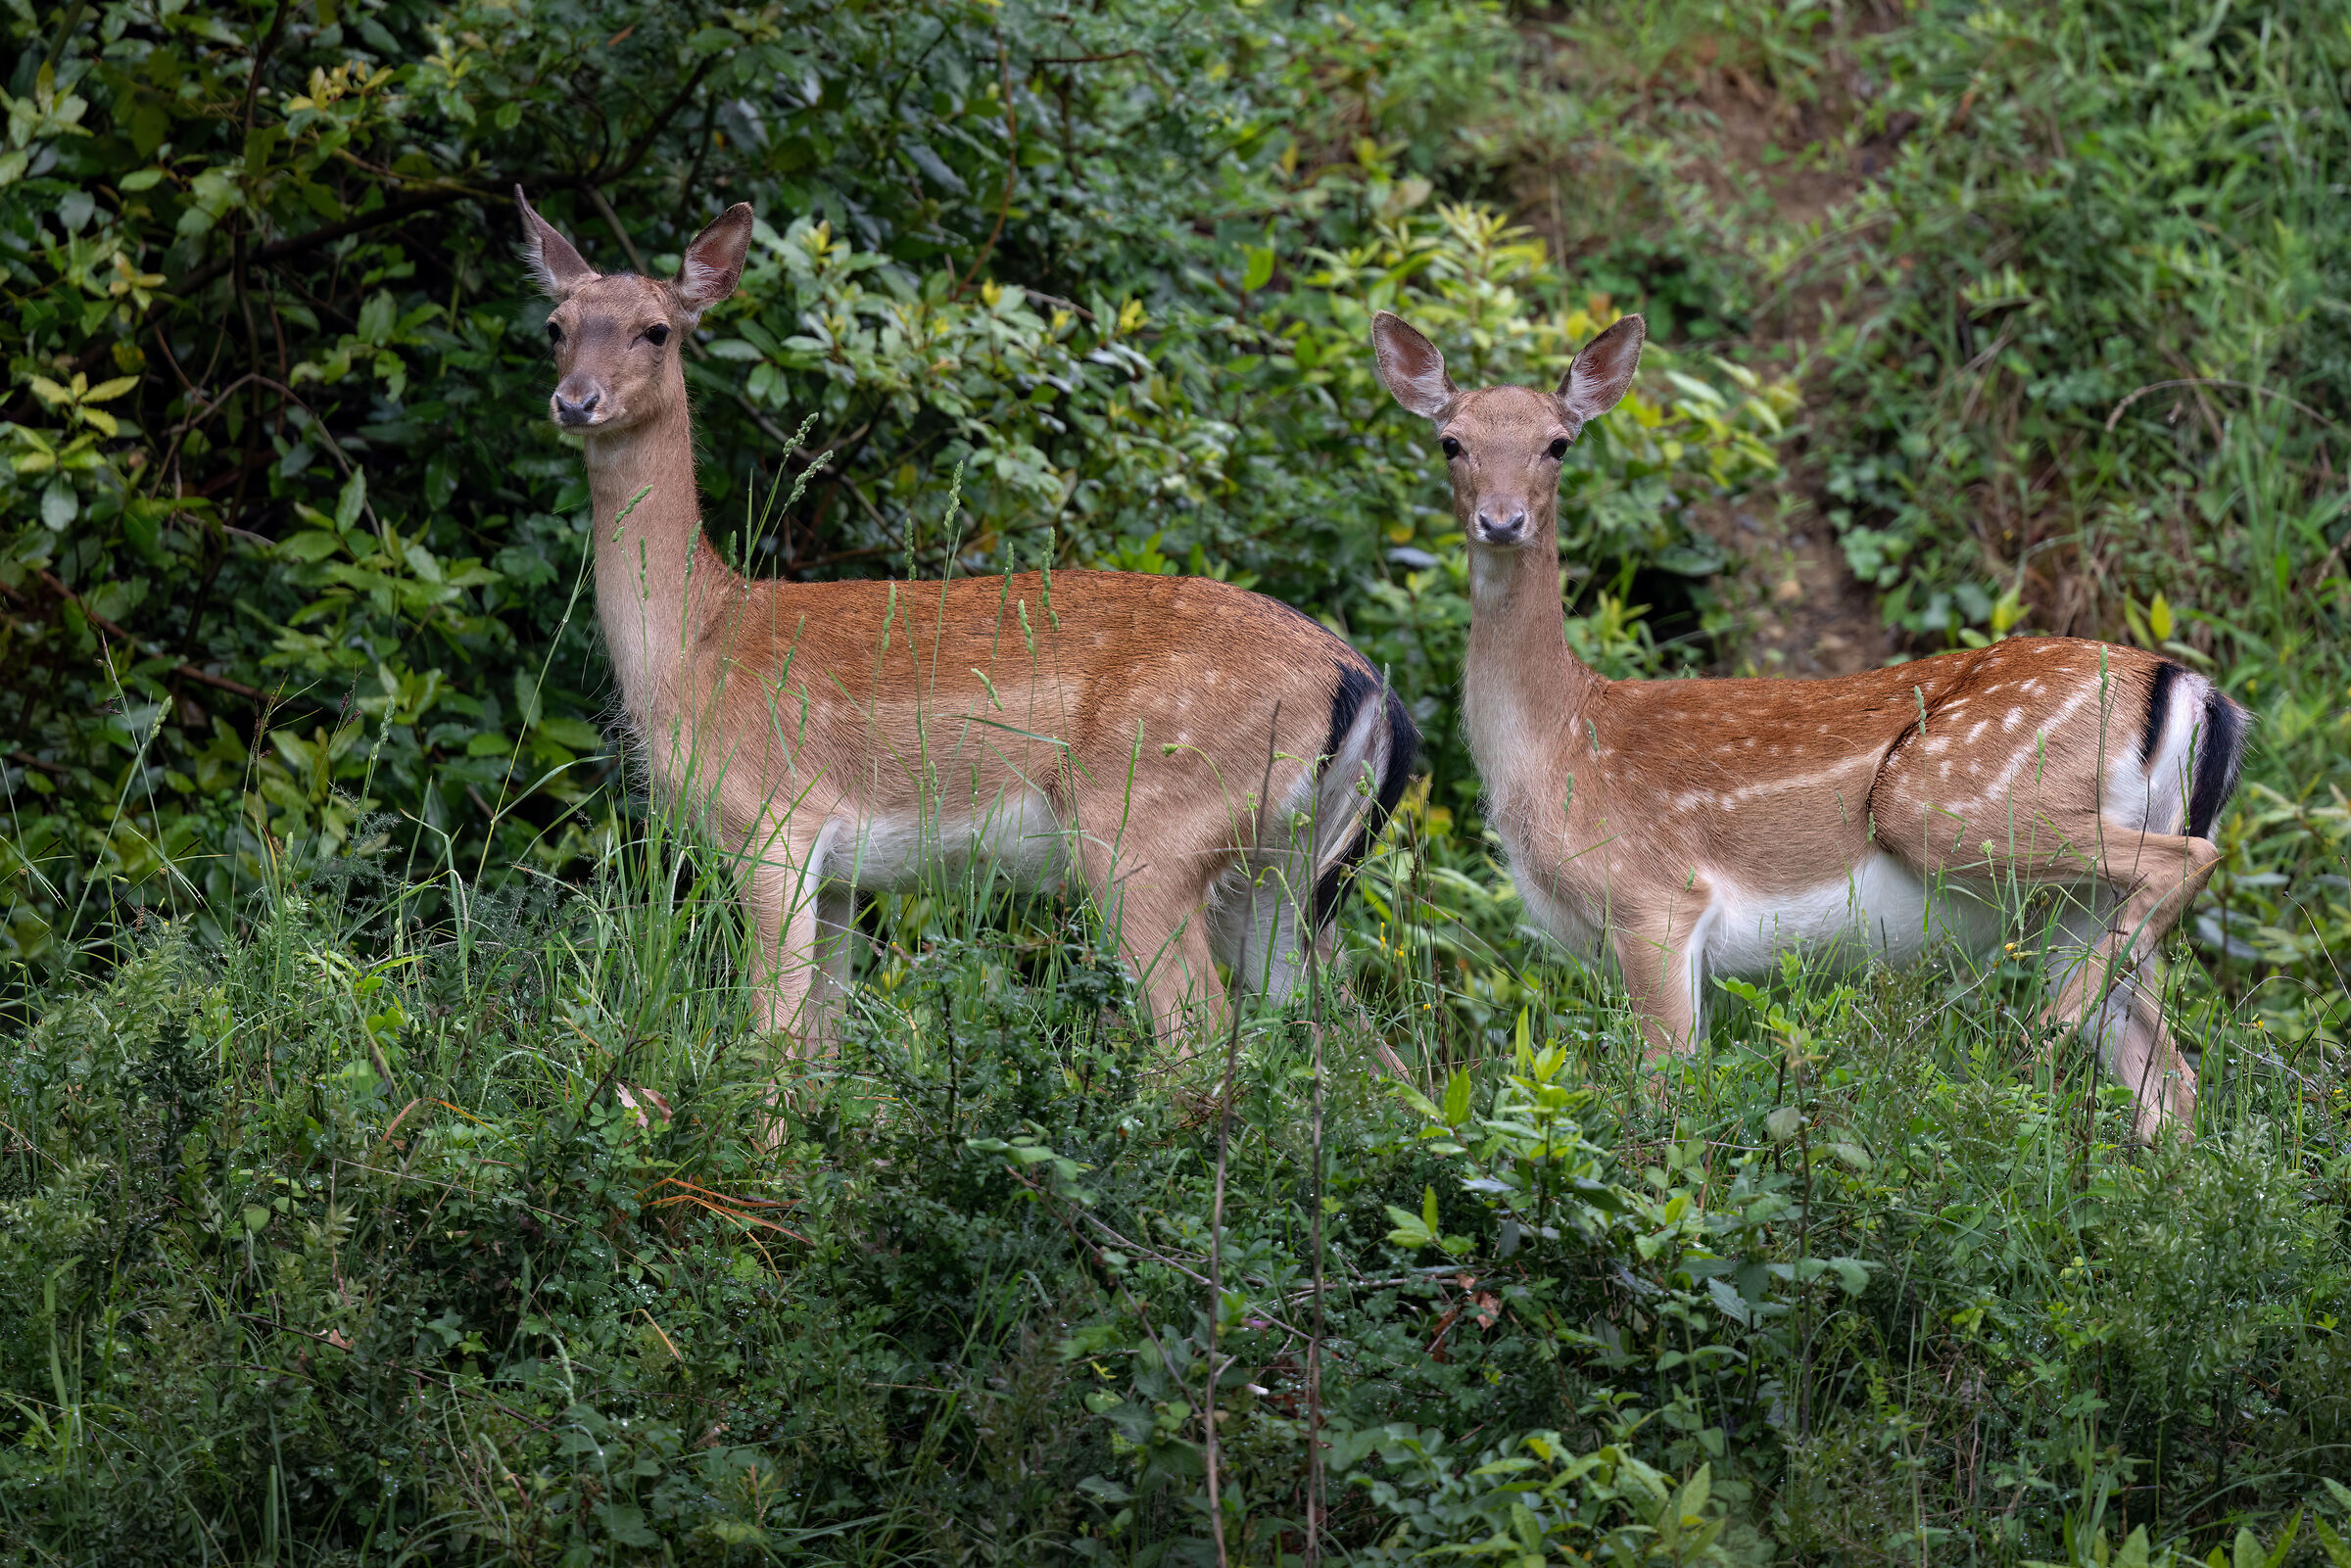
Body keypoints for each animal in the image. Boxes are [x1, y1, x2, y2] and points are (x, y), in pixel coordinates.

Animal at [515, 189, 1417, 1055]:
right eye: (555, 326)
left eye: (656, 330)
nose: (574, 400)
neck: (695, 642)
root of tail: (1368, 687)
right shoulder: (841, 876)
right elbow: (818, 1052)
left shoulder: (774, 823)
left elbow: (769, 1041)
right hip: (1281, 875)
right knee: (1358, 1045)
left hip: (1145, 836)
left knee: (1197, 1038)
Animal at [1370, 309, 2248, 1143]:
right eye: (1451, 441)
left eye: (1558, 444)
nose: (1502, 519)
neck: (1559, 740)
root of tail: (2193, 691)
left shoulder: (1654, 900)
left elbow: (1662, 1094)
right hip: (2071, 902)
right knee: (2170, 1076)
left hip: (1952, 801)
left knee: (2187, 867)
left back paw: (2032, 1031)